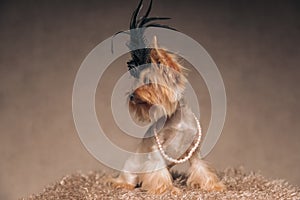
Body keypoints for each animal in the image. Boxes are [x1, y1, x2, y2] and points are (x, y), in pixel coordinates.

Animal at [106, 0, 224, 194]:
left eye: (148, 81)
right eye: (136, 83)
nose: (131, 96)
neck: (178, 118)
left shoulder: (195, 150)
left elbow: (200, 167)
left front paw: (213, 185)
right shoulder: (156, 149)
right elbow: (158, 171)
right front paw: (166, 189)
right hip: (131, 167)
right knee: (127, 178)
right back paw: (122, 183)